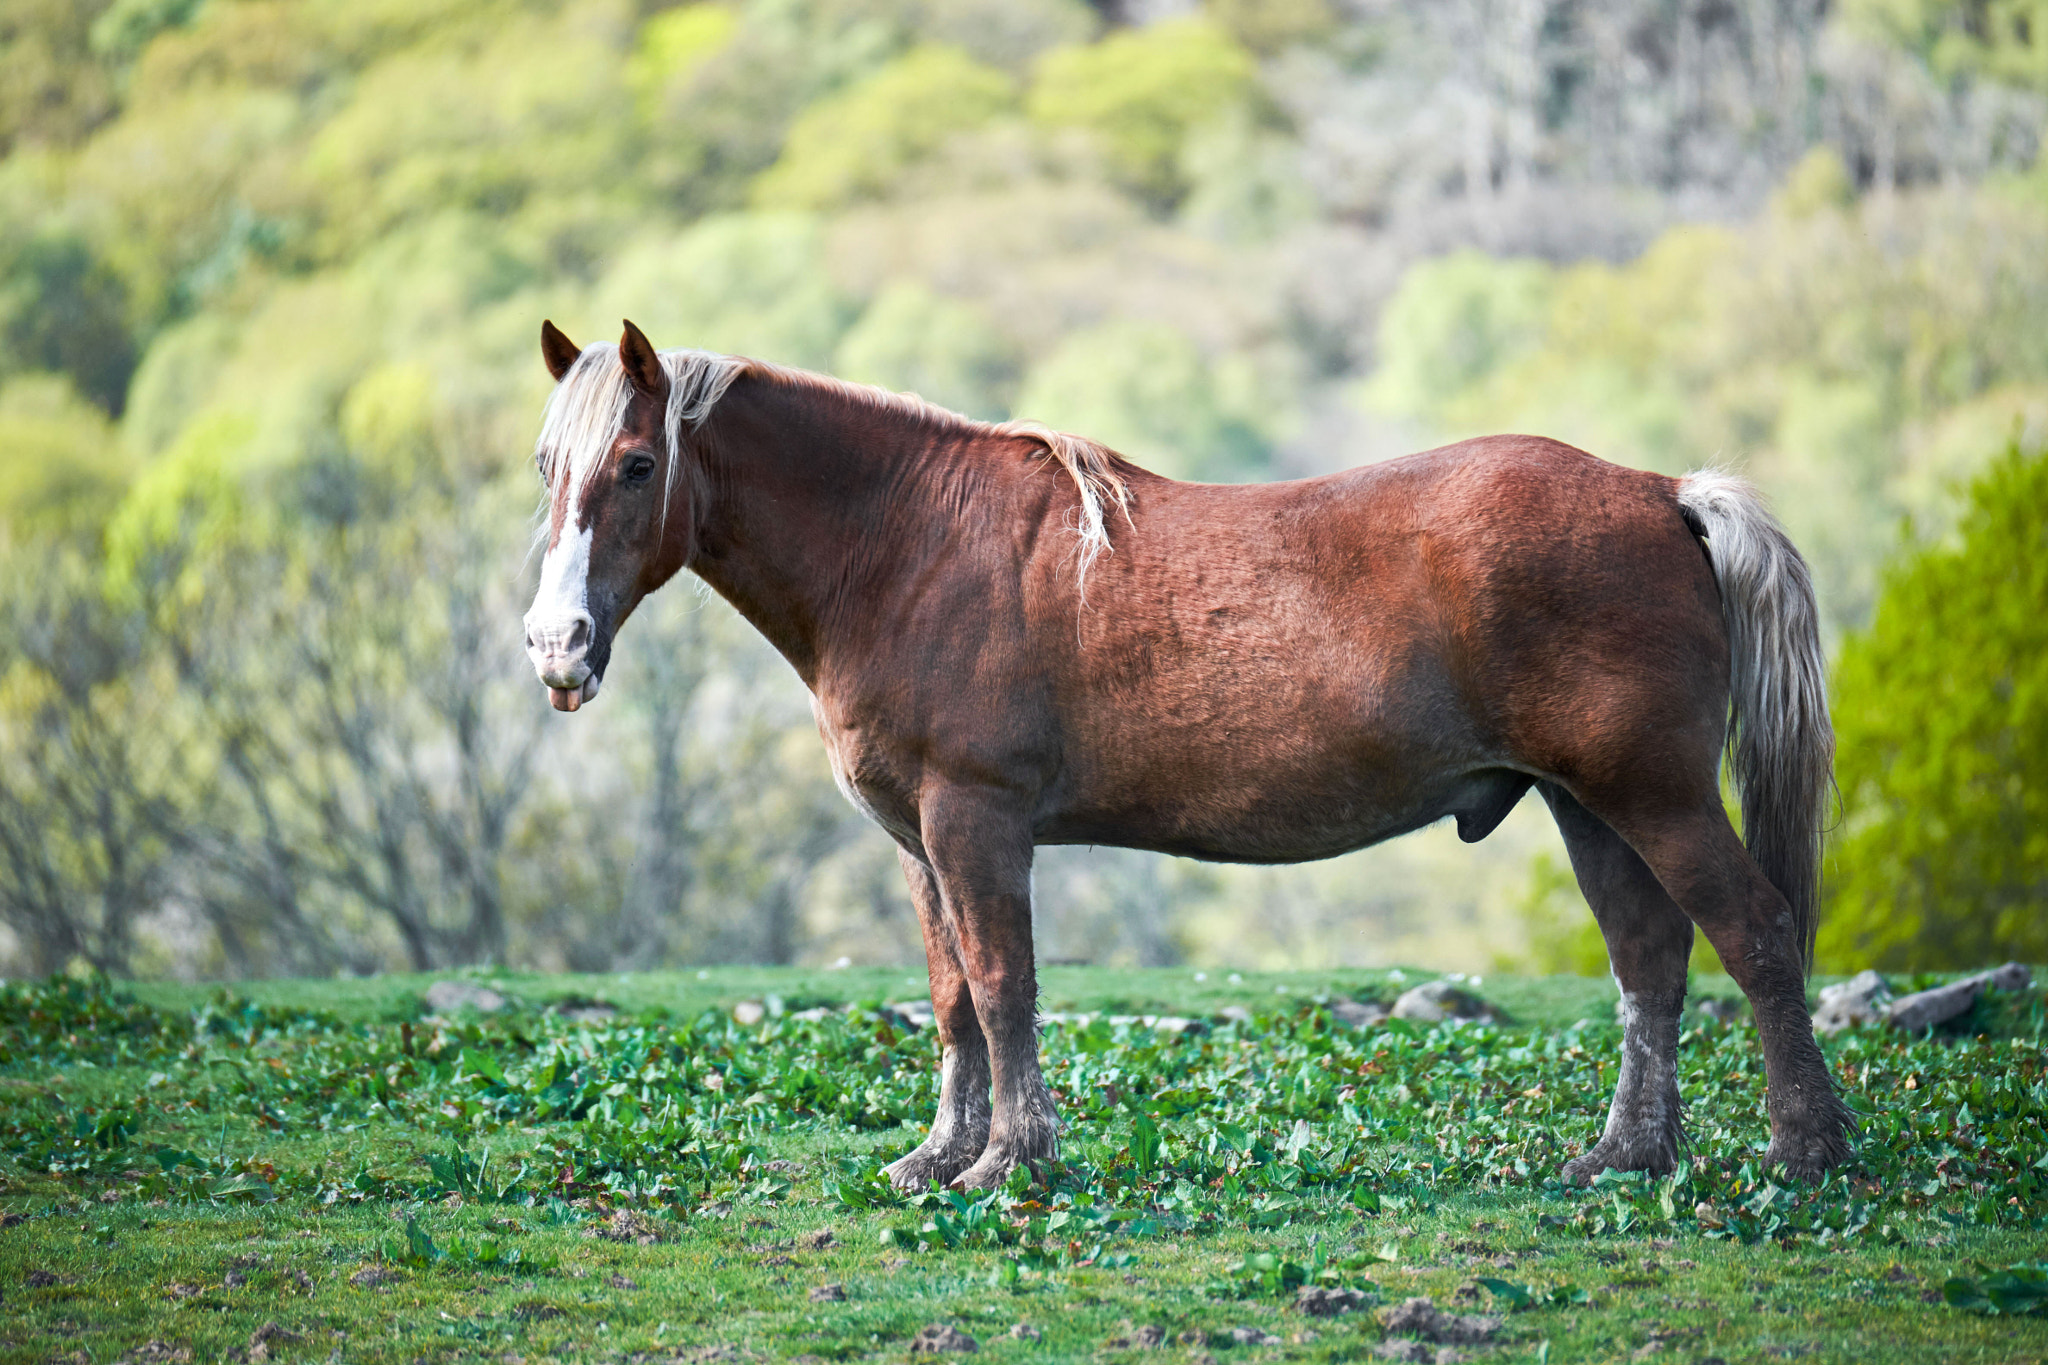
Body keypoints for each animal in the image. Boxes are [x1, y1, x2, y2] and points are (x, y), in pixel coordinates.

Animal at [516, 325, 1859, 1186]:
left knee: (1750, 933)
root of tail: (1661, 491)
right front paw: (938, 1155)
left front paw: (1010, 1161)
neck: (906, 544)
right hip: (1591, 805)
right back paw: (1626, 1154)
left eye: (637, 464)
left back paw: (1803, 1150)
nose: (554, 644)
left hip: (1653, 796)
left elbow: (1003, 989)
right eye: (546, 465)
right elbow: (951, 998)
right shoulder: (918, 843)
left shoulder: (975, 824)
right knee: (1649, 960)